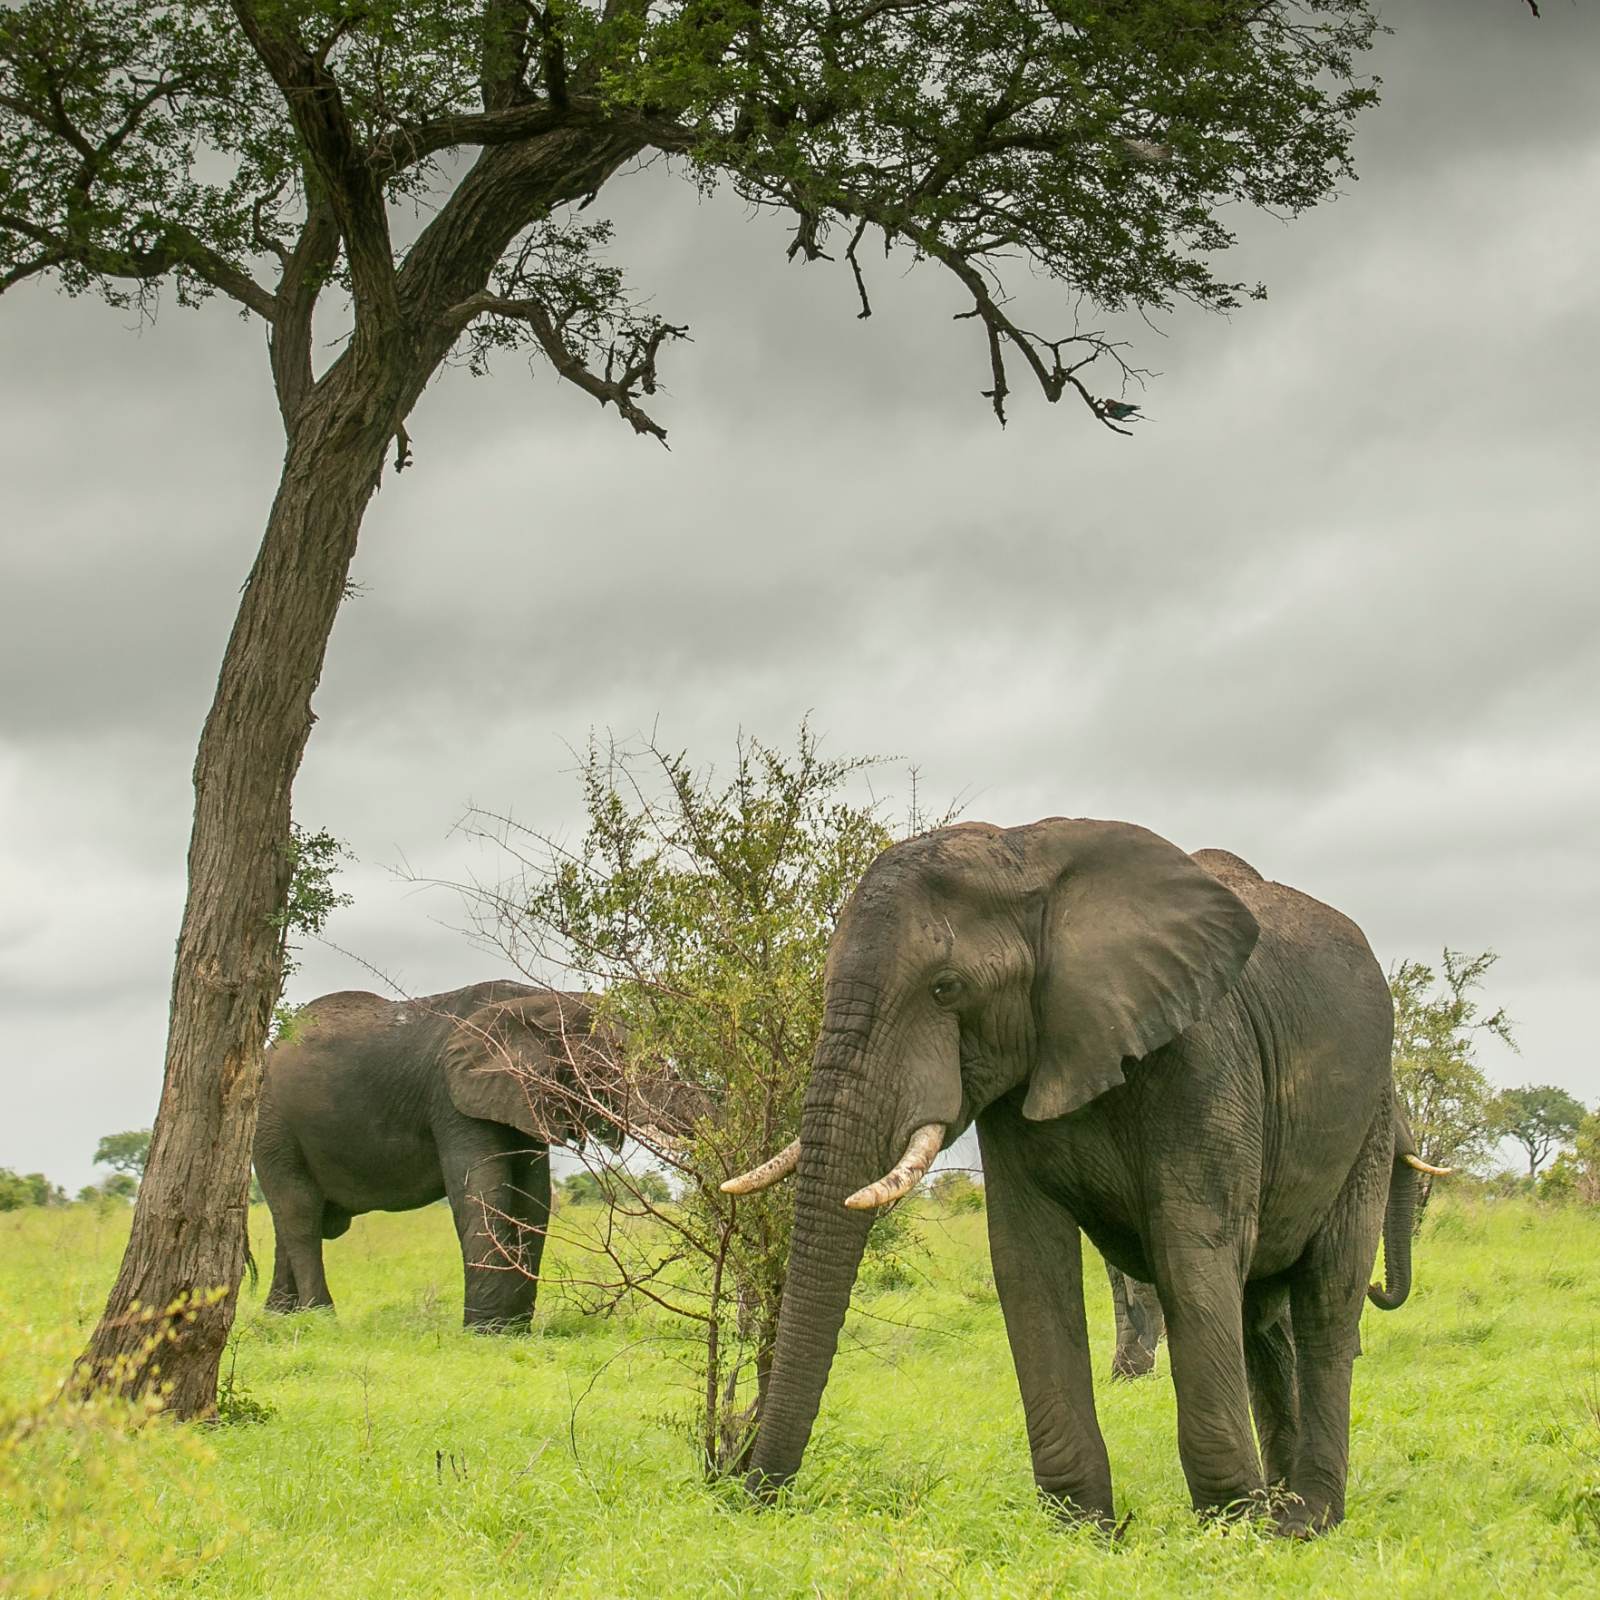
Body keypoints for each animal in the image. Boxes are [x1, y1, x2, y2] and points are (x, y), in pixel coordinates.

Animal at [252, 979, 620, 1331]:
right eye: (603, 1067)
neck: (539, 1000)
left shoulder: (517, 1099)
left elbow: (532, 1199)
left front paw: (514, 1329)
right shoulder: (452, 1098)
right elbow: (481, 1195)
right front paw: (486, 1332)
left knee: (294, 1220)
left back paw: (278, 1318)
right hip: (272, 1124)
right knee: (300, 1214)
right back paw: (321, 1318)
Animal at [732, 825, 1420, 1536]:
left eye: (946, 988)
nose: (755, 1497)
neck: (1031, 864)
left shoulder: (1207, 1056)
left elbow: (1193, 1250)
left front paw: (1224, 1530)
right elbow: (1028, 1262)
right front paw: (1085, 1531)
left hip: (1371, 1115)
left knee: (1328, 1297)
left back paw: (1303, 1520)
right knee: (1262, 1316)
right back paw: (1279, 1513)